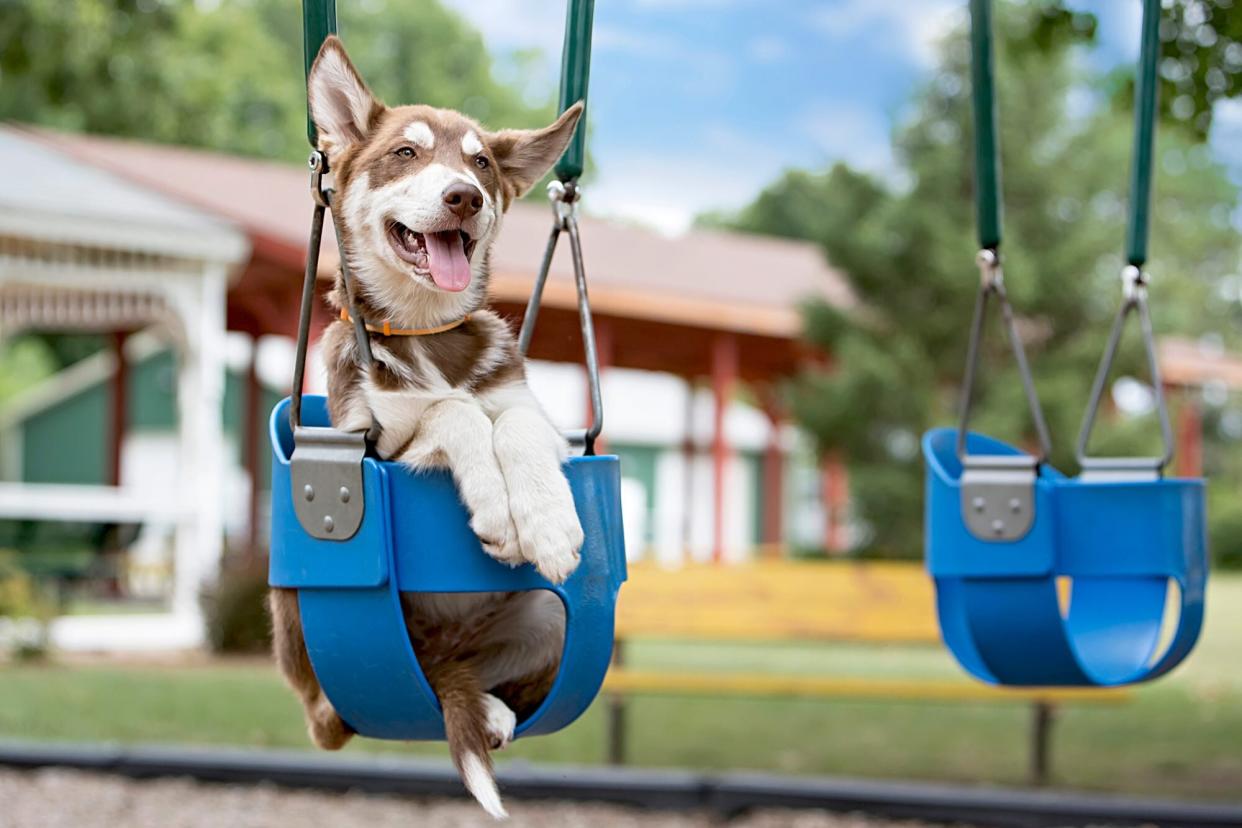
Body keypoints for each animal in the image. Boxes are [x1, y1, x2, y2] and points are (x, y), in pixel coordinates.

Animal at [268, 35, 586, 819]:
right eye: (405, 154)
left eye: (481, 164)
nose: (463, 196)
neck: (424, 330)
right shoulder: (371, 441)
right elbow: (454, 411)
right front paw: (500, 511)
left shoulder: (527, 409)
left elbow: (514, 424)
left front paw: (547, 525)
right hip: (299, 617)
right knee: (331, 714)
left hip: (547, 617)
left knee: (461, 680)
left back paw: (491, 709)